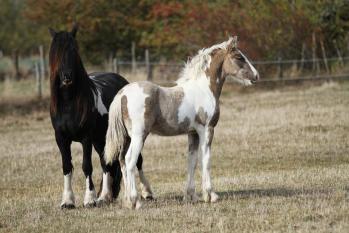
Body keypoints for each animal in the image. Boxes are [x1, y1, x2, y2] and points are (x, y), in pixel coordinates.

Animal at [49, 25, 152, 208]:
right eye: (56, 52)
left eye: (74, 50)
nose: (67, 77)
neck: (69, 103)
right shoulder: (61, 138)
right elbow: (66, 166)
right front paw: (67, 201)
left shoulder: (86, 138)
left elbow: (86, 166)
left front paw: (89, 199)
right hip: (101, 139)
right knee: (106, 163)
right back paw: (104, 196)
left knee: (137, 160)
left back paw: (146, 193)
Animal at [104, 37, 256, 208]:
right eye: (239, 57)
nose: (256, 76)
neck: (204, 89)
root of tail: (122, 93)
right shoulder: (207, 130)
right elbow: (206, 160)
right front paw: (210, 195)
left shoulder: (193, 133)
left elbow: (192, 161)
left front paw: (191, 196)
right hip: (139, 135)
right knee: (130, 161)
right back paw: (136, 201)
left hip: (127, 137)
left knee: (122, 160)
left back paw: (128, 201)